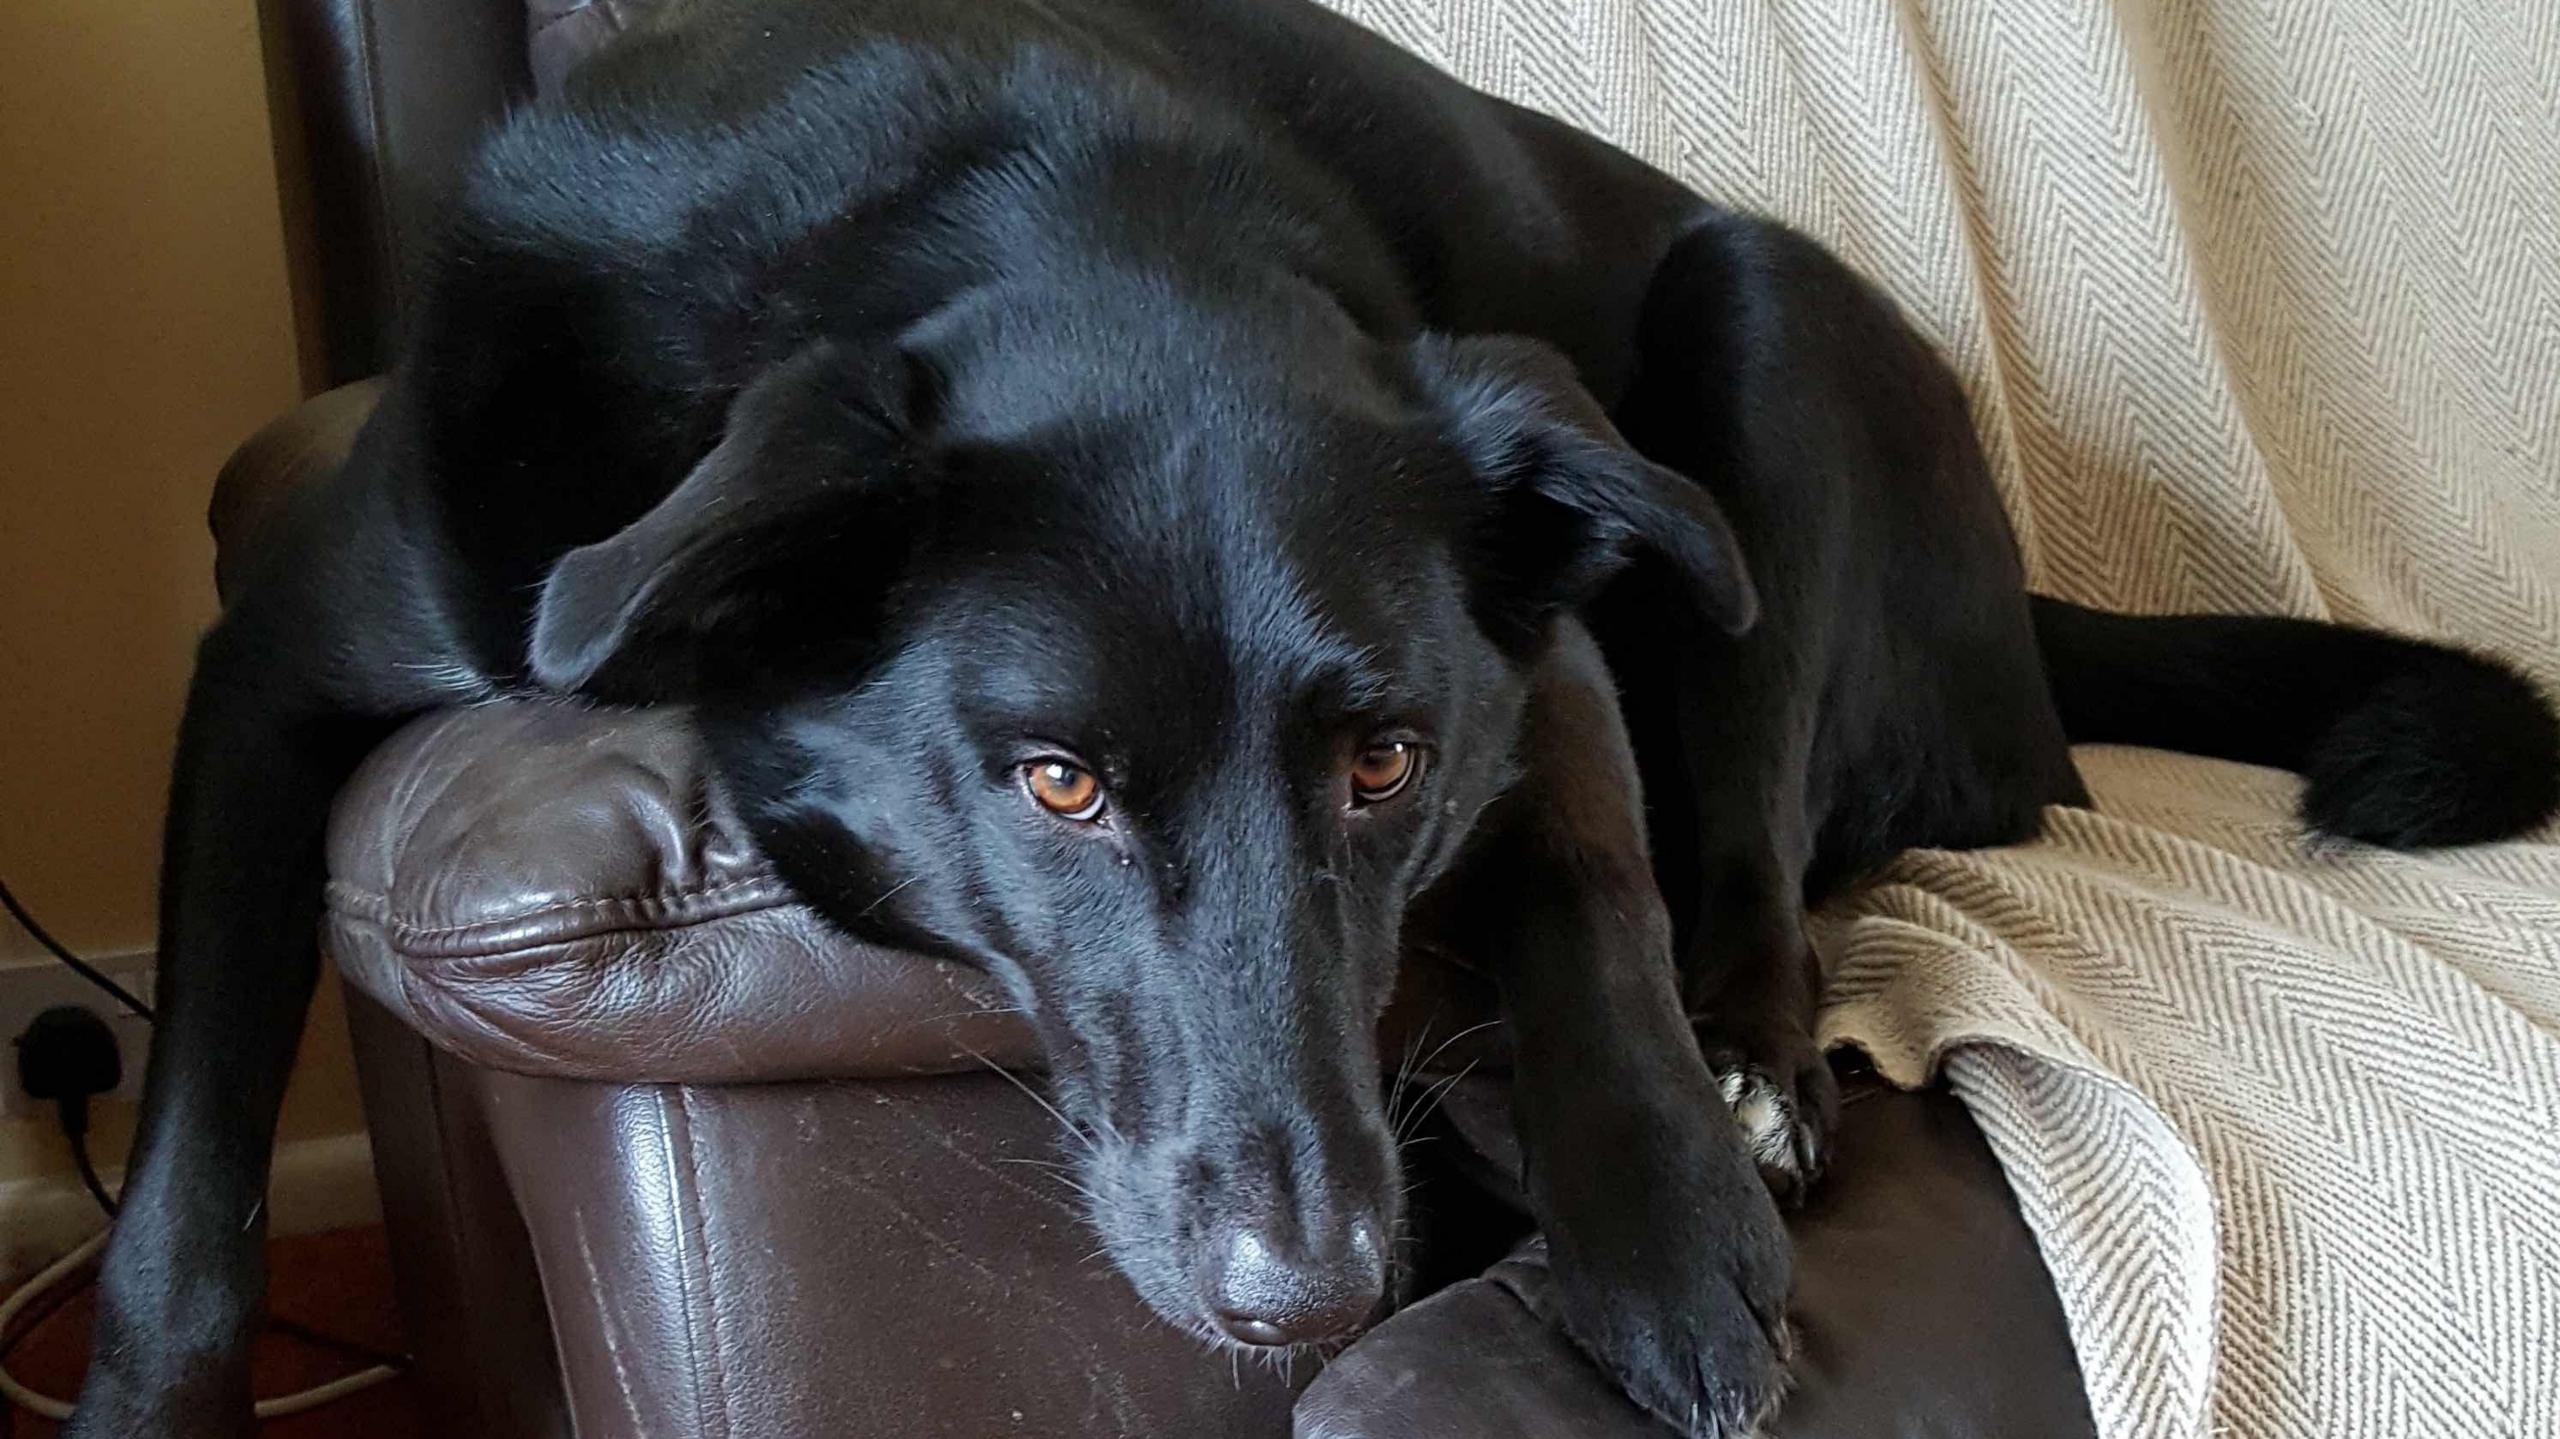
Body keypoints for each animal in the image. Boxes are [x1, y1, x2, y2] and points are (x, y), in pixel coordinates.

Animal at [70, 2, 2549, 1433]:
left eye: (1380, 764)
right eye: (1056, 781)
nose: (1320, 1280)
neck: (993, 206)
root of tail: (2033, 623)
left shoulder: (1538, 650)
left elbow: (1588, 883)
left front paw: (1661, 1221)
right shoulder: (266, 663)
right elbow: (187, 1201)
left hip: (1757, 344)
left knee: (1747, 863)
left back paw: (1743, 1084)